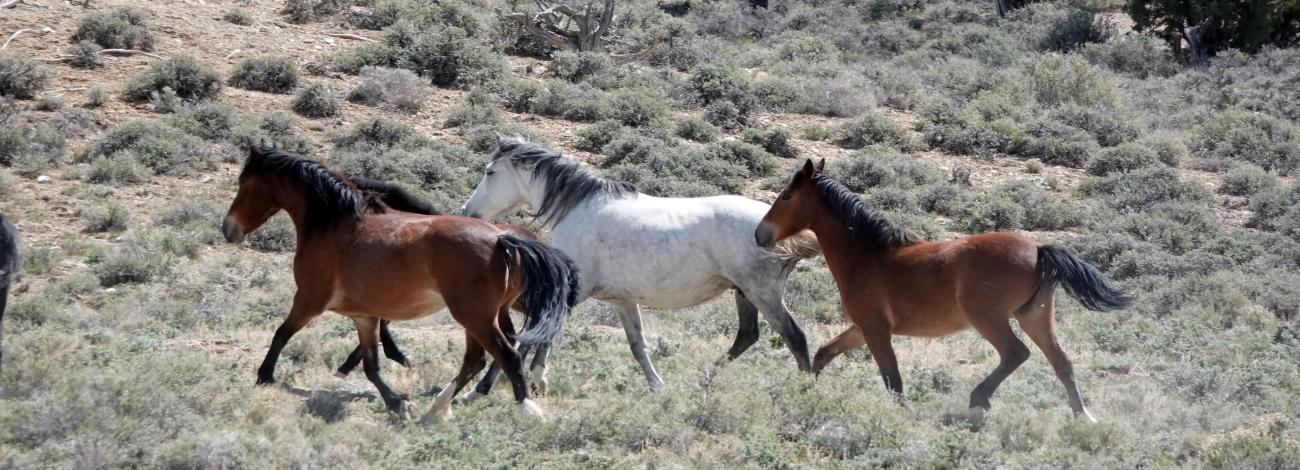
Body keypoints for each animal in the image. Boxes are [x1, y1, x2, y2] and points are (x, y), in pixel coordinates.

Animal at [223, 144, 579, 420]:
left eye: (244, 183)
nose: (229, 229)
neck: (333, 225)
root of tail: (503, 239)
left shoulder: (309, 299)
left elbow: (282, 333)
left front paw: (264, 375)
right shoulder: (364, 316)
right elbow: (371, 364)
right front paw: (397, 403)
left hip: (475, 315)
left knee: (506, 354)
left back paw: (526, 408)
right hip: (483, 316)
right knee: (480, 358)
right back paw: (437, 408)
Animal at [457, 135, 816, 397]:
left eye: (489, 172)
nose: (467, 212)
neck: (579, 210)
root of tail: (776, 227)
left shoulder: (570, 291)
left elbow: (530, 337)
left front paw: (485, 389)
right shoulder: (623, 301)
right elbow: (637, 345)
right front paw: (657, 387)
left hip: (762, 292)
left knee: (794, 338)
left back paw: (806, 389)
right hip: (744, 292)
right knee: (747, 336)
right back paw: (704, 381)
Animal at [759, 159, 1133, 420]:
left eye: (786, 195)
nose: (760, 234)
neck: (867, 255)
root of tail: (1039, 249)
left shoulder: (876, 331)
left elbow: (893, 380)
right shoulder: (862, 328)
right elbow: (825, 353)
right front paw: (807, 390)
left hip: (989, 318)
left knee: (1016, 353)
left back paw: (978, 401)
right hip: (1035, 316)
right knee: (1062, 363)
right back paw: (1083, 418)